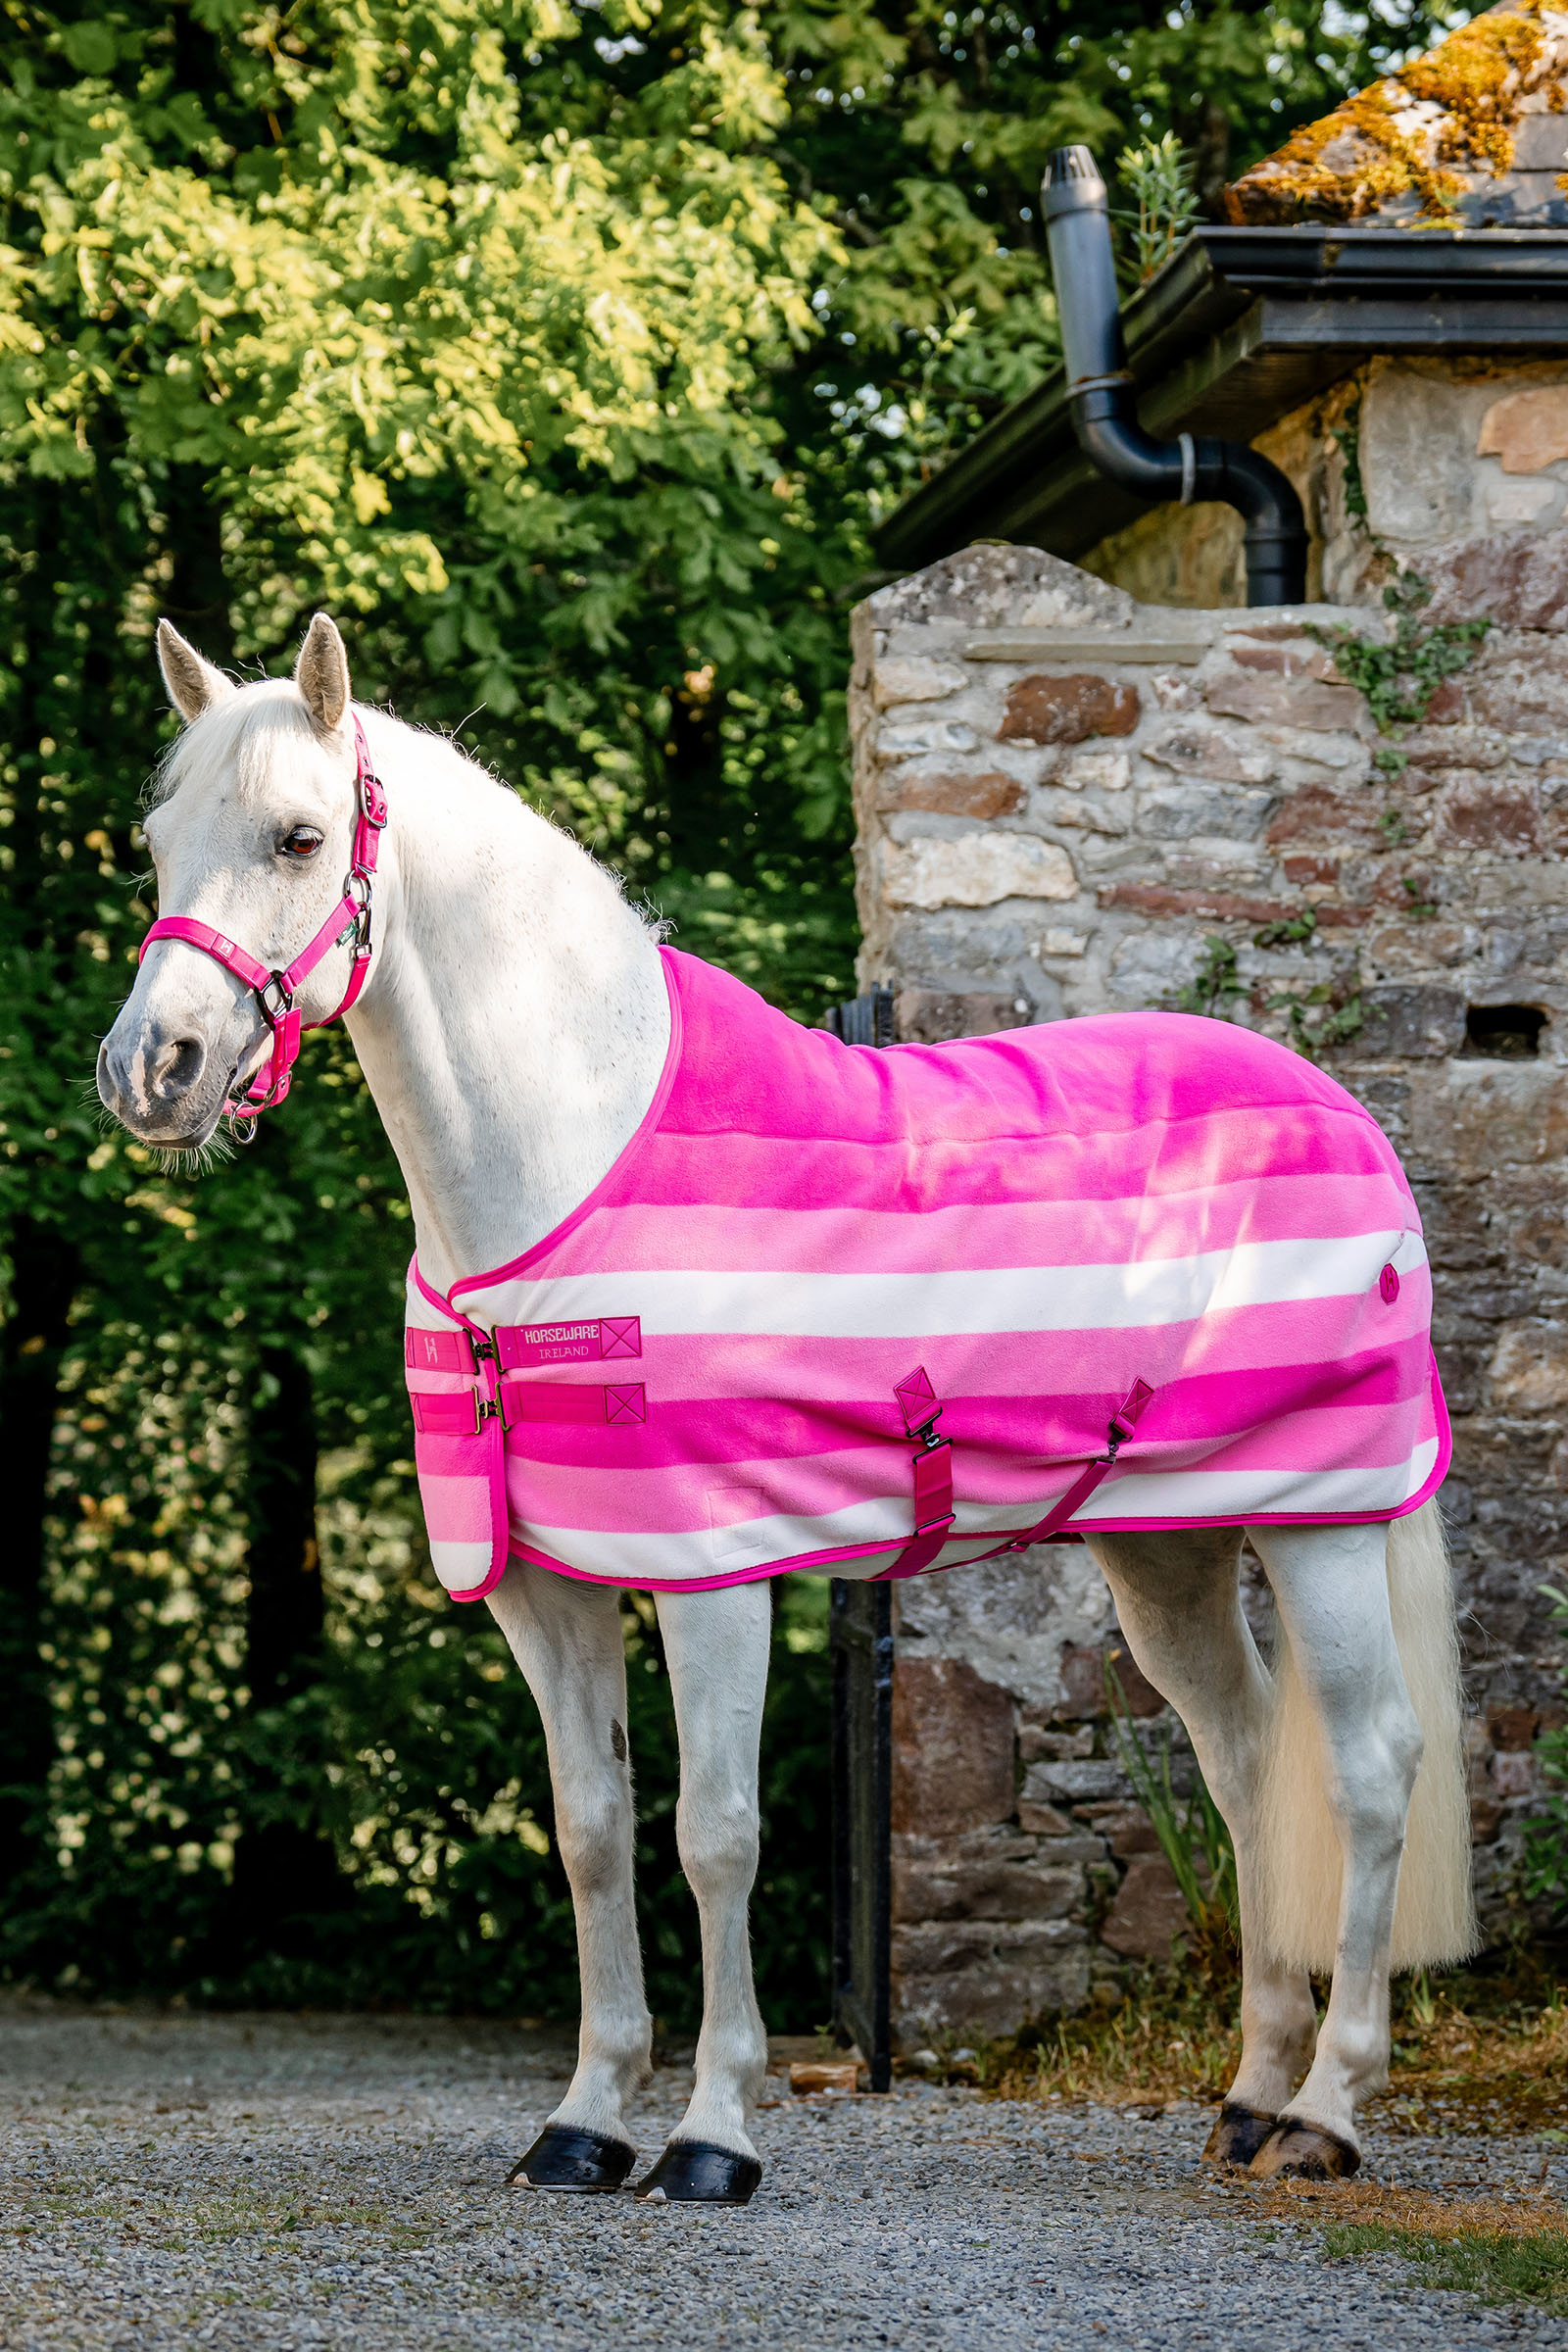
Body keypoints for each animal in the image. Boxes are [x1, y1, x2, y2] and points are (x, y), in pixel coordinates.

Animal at [97, 612, 1476, 2204]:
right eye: (157, 843)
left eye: (299, 836)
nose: (148, 1071)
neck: (569, 1164)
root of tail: (1342, 1110)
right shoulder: (546, 1591)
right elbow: (590, 1831)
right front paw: (582, 2123)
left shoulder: (715, 1576)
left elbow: (717, 1837)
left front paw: (712, 2135)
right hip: (1169, 1546)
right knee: (1245, 1760)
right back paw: (1249, 2095)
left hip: (1323, 1522)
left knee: (1367, 1771)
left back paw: (1326, 2112)